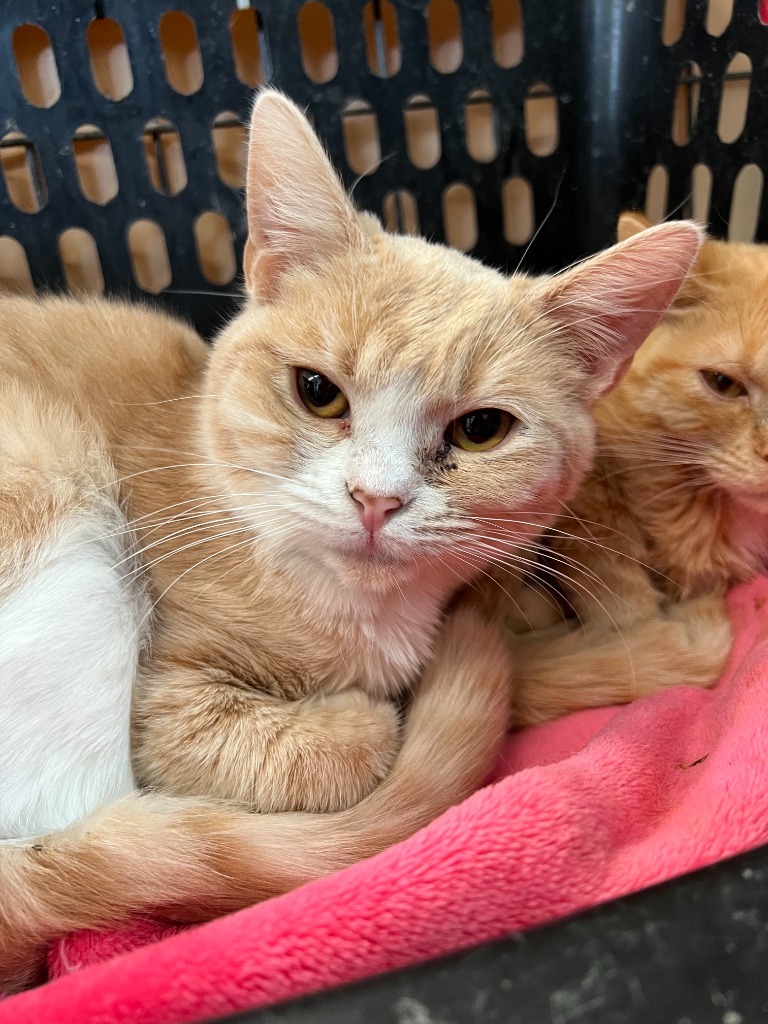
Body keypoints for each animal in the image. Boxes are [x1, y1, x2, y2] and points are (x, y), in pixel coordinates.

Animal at [0, 96, 704, 991]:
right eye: (318, 392)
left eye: (480, 430)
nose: (377, 500)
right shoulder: (162, 711)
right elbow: (344, 747)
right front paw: (367, 718)